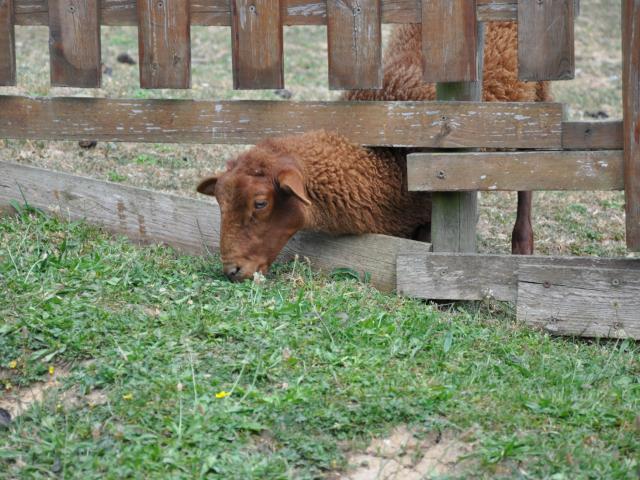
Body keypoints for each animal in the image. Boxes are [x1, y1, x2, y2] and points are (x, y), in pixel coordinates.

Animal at [199, 21, 552, 282]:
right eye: (219, 202)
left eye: (260, 203)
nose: (231, 270)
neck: (387, 161)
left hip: (535, 101)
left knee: (530, 172)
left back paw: (523, 244)